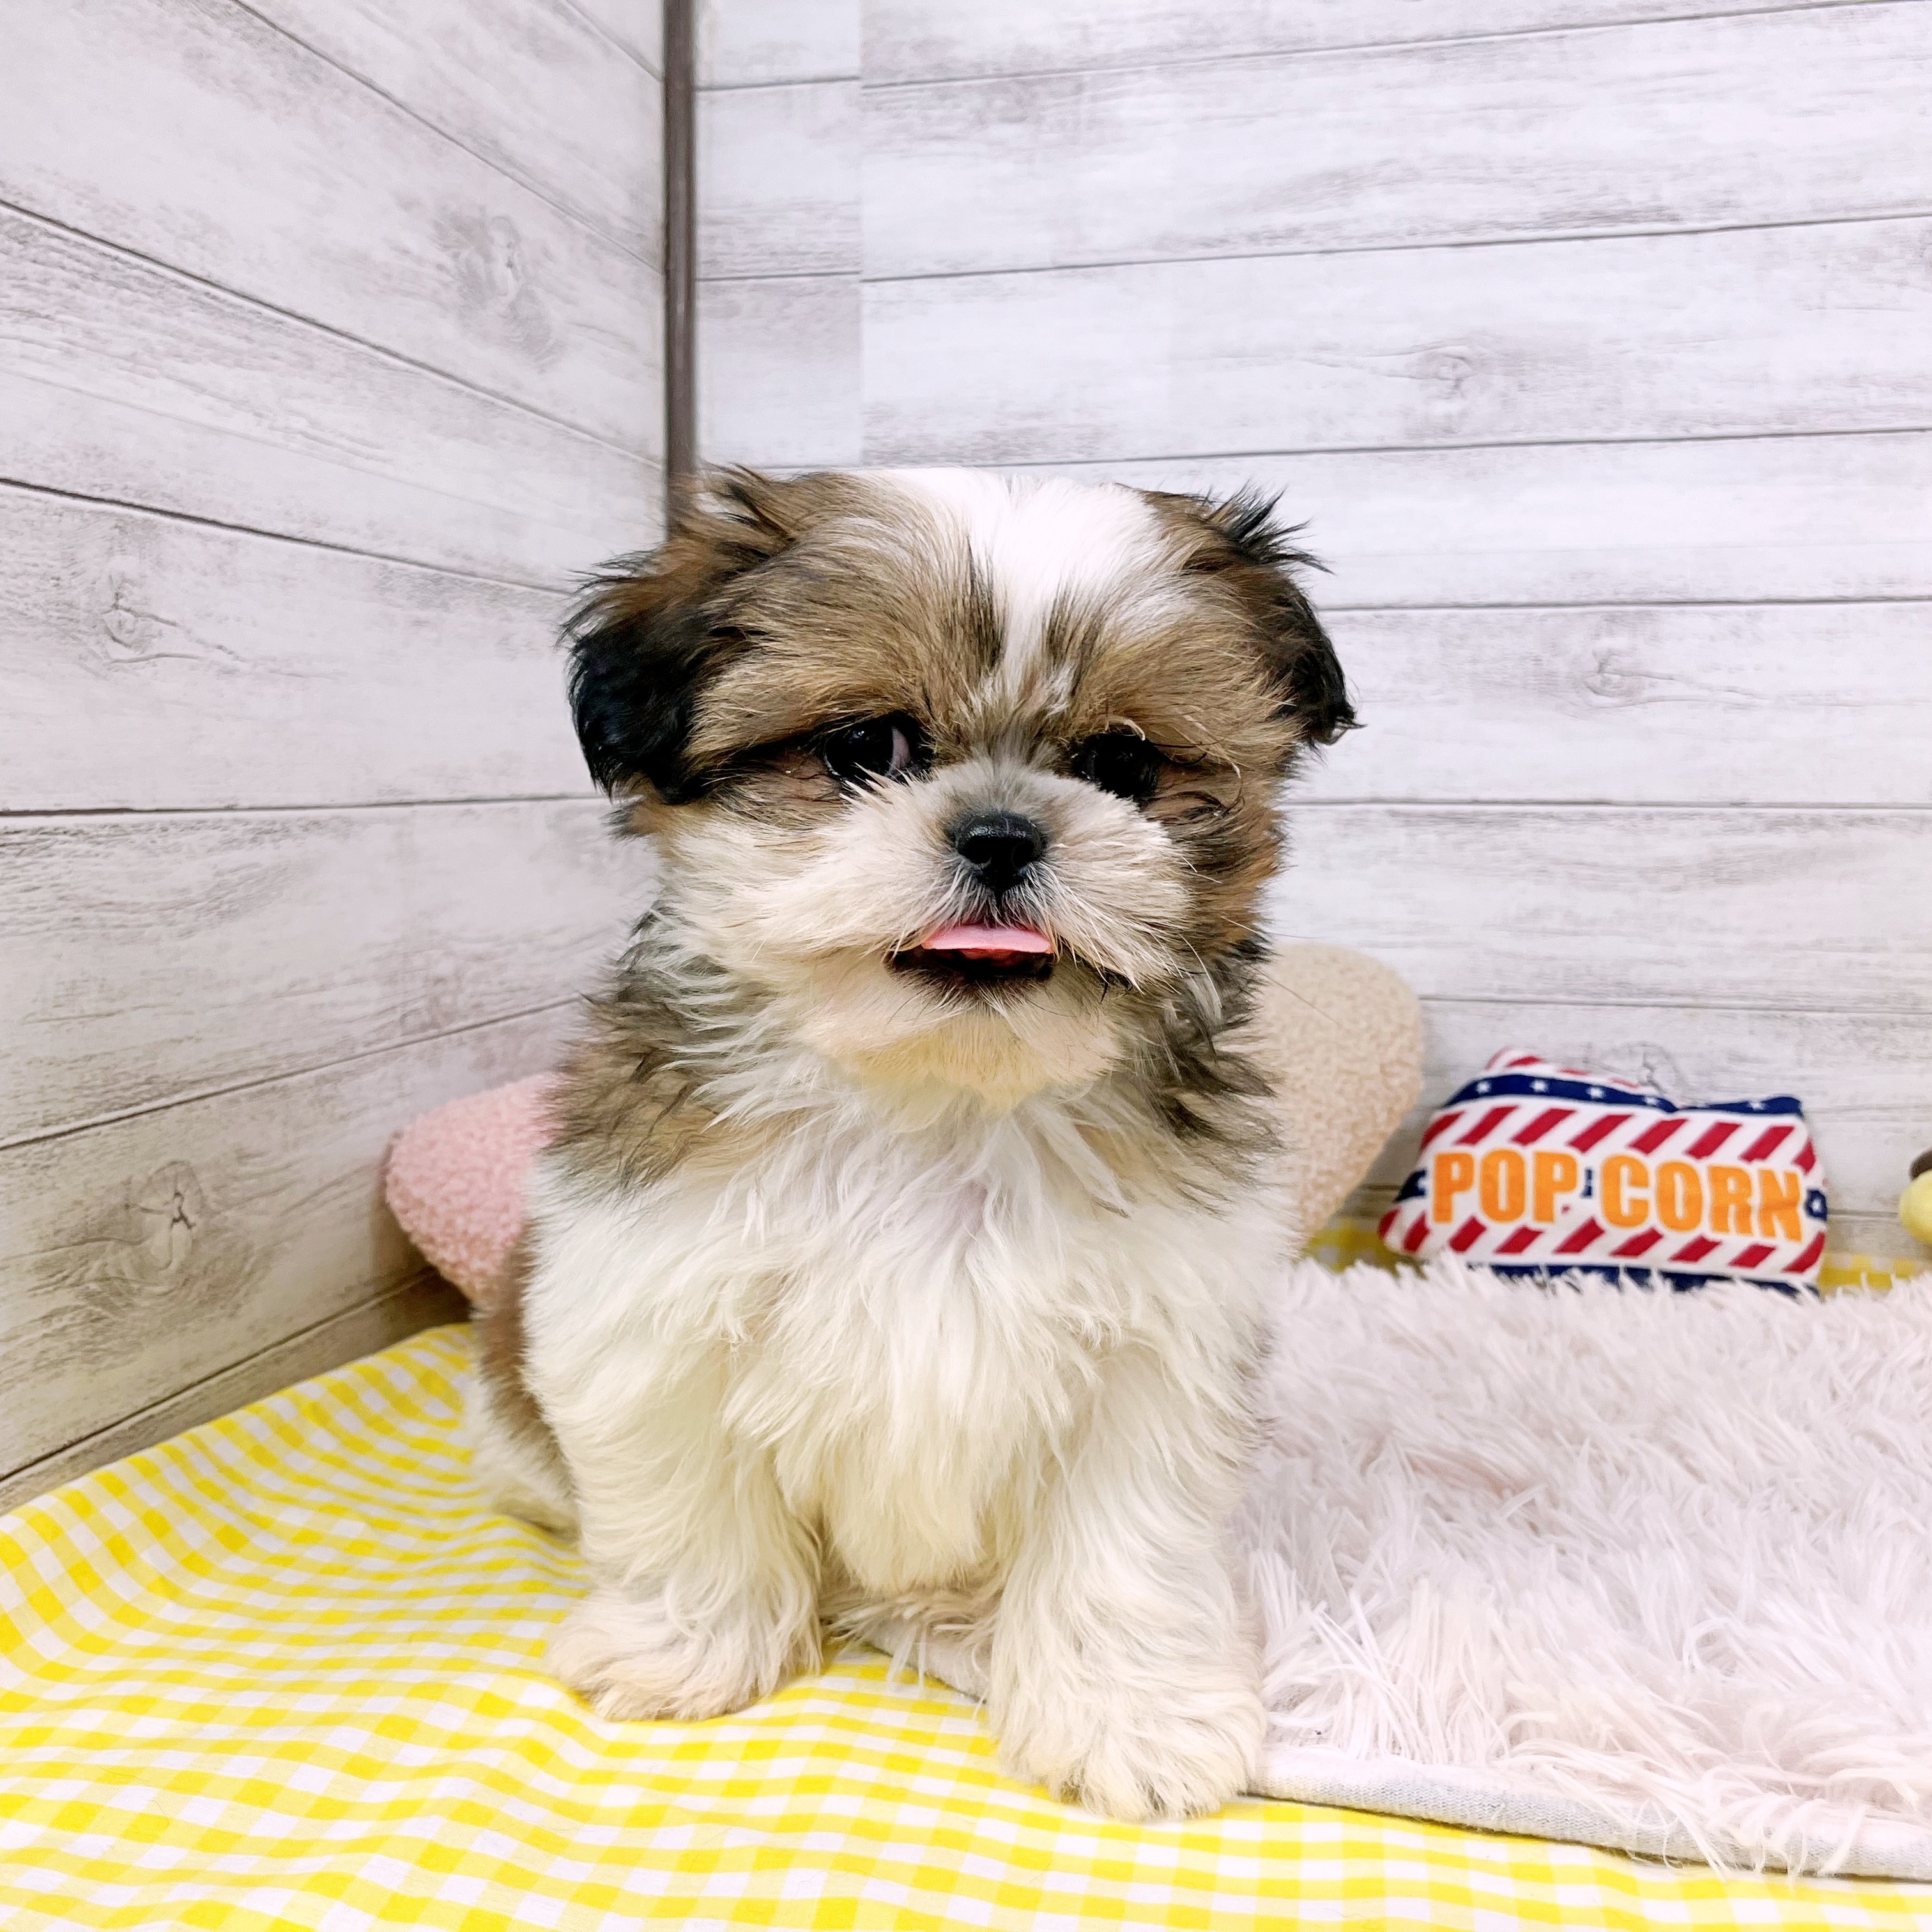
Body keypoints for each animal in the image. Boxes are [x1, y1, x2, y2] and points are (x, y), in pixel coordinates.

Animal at [470, 467, 1353, 1820]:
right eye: (862, 748)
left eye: (1120, 761)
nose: (999, 831)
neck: (939, 1097)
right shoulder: (651, 1303)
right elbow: (685, 1500)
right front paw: (686, 1648)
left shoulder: (1157, 1354)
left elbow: (1124, 1547)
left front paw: (1128, 1716)